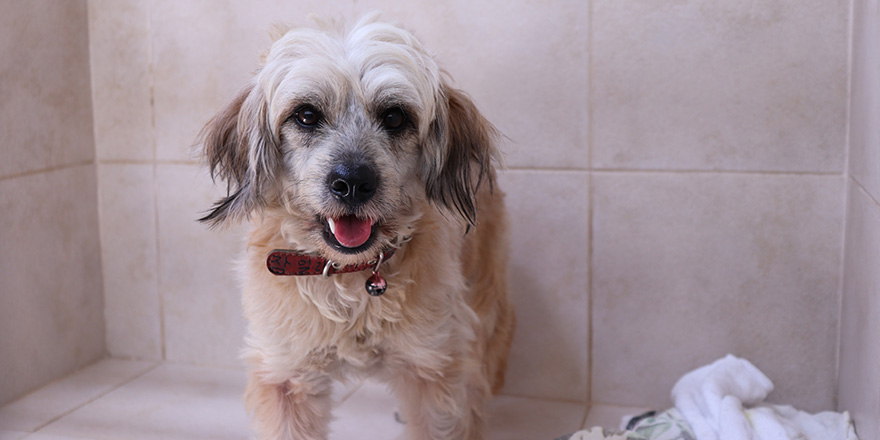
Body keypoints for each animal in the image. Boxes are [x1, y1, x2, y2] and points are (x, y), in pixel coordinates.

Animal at [199, 14, 516, 440]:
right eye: (306, 115)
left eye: (395, 117)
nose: (352, 183)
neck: (348, 277)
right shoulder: (285, 374)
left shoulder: (436, 370)